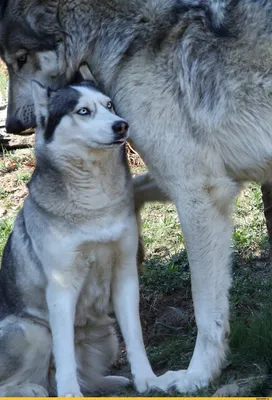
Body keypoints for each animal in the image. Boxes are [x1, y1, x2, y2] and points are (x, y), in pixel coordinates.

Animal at [0, 65, 164, 396]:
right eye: (83, 111)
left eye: (109, 105)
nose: (121, 125)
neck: (95, 203)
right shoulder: (62, 287)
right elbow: (64, 352)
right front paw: (69, 393)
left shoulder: (125, 275)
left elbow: (136, 337)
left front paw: (147, 379)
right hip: (32, 330)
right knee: (26, 379)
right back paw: (34, 390)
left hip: (108, 337)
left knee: (84, 372)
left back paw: (108, 381)